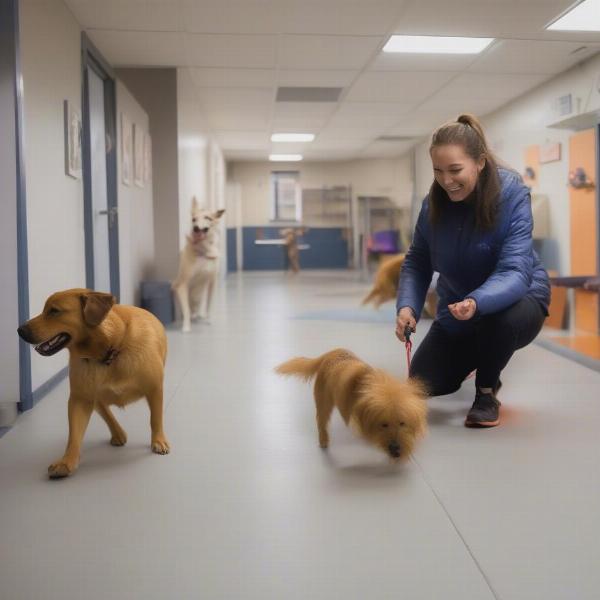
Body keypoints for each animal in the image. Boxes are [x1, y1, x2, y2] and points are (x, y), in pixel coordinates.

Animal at [18, 288, 169, 480]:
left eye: (54, 311)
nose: (19, 330)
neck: (109, 352)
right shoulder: (79, 399)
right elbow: (74, 435)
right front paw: (67, 461)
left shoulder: (155, 388)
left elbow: (155, 419)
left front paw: (159, 440)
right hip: (93, 396)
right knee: (105, 412)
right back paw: (118, 433)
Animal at [276, 346, 426, 460]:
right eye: (384, 424)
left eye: (402, 423)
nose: (395, 449)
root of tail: (330, 353)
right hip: (323, 400)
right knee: (321, 420)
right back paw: (323, 440)